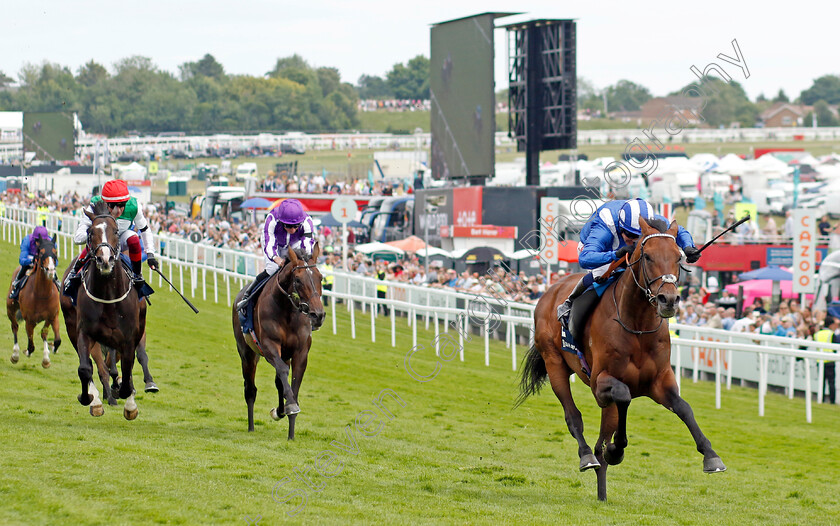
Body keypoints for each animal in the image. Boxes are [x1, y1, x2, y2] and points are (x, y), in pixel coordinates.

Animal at [6, 237, 61, 370]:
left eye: (55, 252)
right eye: (41, 253)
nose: (50, 270)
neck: (42, 294)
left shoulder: (53, 316)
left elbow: (54, 338)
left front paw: (48, 356)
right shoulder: (29, 320)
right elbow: (31, 346)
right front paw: (26, 351)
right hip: (10, 307)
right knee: (15, 326)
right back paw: (15, 355)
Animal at [59, 202, 146, 420]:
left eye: (115, 231)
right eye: (91, 232)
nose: (104, 260)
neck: (108, 296)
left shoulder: (129, 338)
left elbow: (127, 369)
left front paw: (129, 403)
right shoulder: (84, 332)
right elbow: (84, 368)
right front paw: (89, 398)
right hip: (72, 326)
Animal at [231, 245, 326, 440]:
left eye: (320, 277)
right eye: (297, 280)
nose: (318, 315)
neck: (287, 310)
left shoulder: (300, 353)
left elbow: (293, 384)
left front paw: (291, 433)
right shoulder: (269, 347)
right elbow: (282, 373)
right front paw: (290, 406)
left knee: (278, 382)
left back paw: (279, 411)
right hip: (247, 354)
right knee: (250, 390)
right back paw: (251, 427)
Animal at [516, 219, 724, 504]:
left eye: (678, 257)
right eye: (647, 256)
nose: (668, 300)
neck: (637, 327)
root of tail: (551, 289)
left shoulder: (660, 381)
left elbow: (684, 408)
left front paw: (711, 456)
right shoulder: (600, 382)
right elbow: (624, 396)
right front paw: (616, 449)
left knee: (600, 441)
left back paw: (602, 491)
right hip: (554, 362)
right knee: (574, 418)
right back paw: (587, 456)